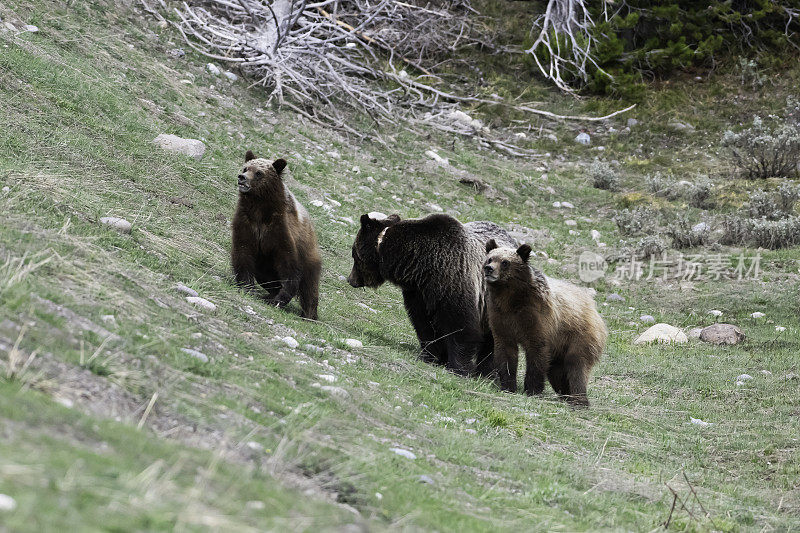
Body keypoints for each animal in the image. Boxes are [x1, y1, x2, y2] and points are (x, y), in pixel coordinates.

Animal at [230, 150, 320, 318]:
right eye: (246, 168)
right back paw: (269, 293)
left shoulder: (280, 230)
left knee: (310, 287)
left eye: (259, 173)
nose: (242, 177)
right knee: (265, 275)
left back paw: (309, 314)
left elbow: (289, 265)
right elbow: (243, 253)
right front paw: (247, 287)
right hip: (263, 261)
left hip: (309, 255)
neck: (259, 208)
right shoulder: (246, 223)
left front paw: (279, 299)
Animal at [348, 210, 512, 376]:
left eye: (354, 254)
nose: (351, 280)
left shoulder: (455, 281)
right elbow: (424, 326)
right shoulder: (419, 294)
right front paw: (430, 357)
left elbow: (461, 329)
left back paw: (487, 371)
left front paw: (459, 367)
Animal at [482, 239, 608, 406]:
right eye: (490, 258)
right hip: (560, 350)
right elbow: (506, 352)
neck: (510, 298)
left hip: (580, 336)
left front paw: (532, 389)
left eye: (505, 262)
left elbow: (536, 351)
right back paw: (566, 394)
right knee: (558, 373)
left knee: (577, 367)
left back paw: (579, 400)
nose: (489, 269)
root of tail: (596, 311)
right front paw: (507, 386)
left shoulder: (537, 318)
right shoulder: (501, 318)